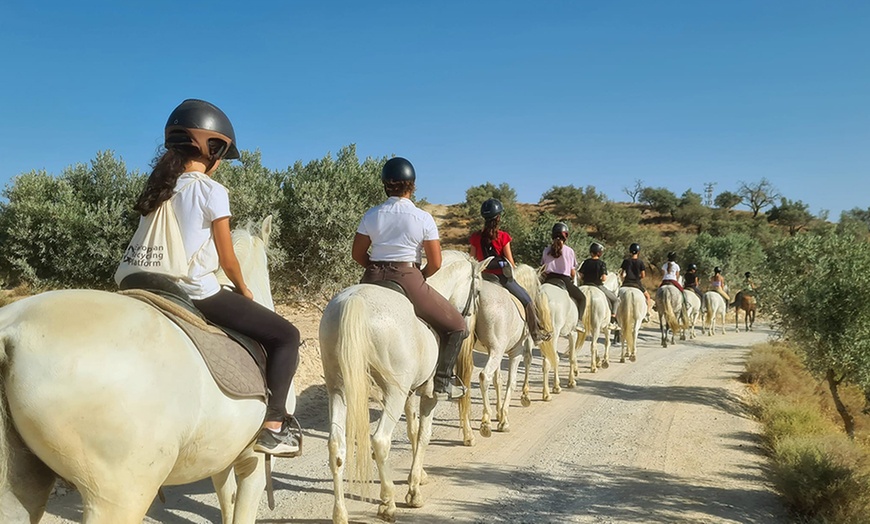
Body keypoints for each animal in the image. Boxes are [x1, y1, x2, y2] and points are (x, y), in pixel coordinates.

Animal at [0, 217, 282, 524]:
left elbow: (227, 500)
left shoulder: (221, 459)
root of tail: (11, 331)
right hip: (120, 494)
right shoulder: (254, 462)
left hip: (22, 482)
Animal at [318, 250, 488, 524]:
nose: (471, 324)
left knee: (336, 446)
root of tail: (355, 301)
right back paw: (387, 503)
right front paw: (414, 491)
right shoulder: (428, 395)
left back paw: (340, 513)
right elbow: (424, 434)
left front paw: (418, 477)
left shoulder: (409, 392)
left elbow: (412, 430)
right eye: (479, 291)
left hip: (338, 389)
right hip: (392, 394)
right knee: (380, 441)